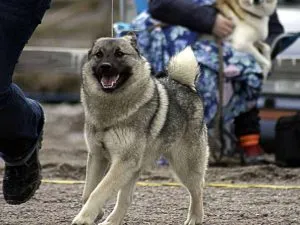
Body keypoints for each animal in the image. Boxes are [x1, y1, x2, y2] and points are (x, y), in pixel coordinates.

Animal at [72, 33, 210, 225]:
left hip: (184, 165)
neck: (110, 109)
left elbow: (98, 191)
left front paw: (83, 218)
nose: (105, 67)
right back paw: (111, 221)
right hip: (135, 169)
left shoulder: (123, 161)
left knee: (197, 189)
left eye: (120, 54)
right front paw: (97, 214)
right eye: (99, 54)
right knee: (126, 199)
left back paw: (195, 217)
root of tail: (185, 85)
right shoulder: (98, 156)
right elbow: (88, 193)